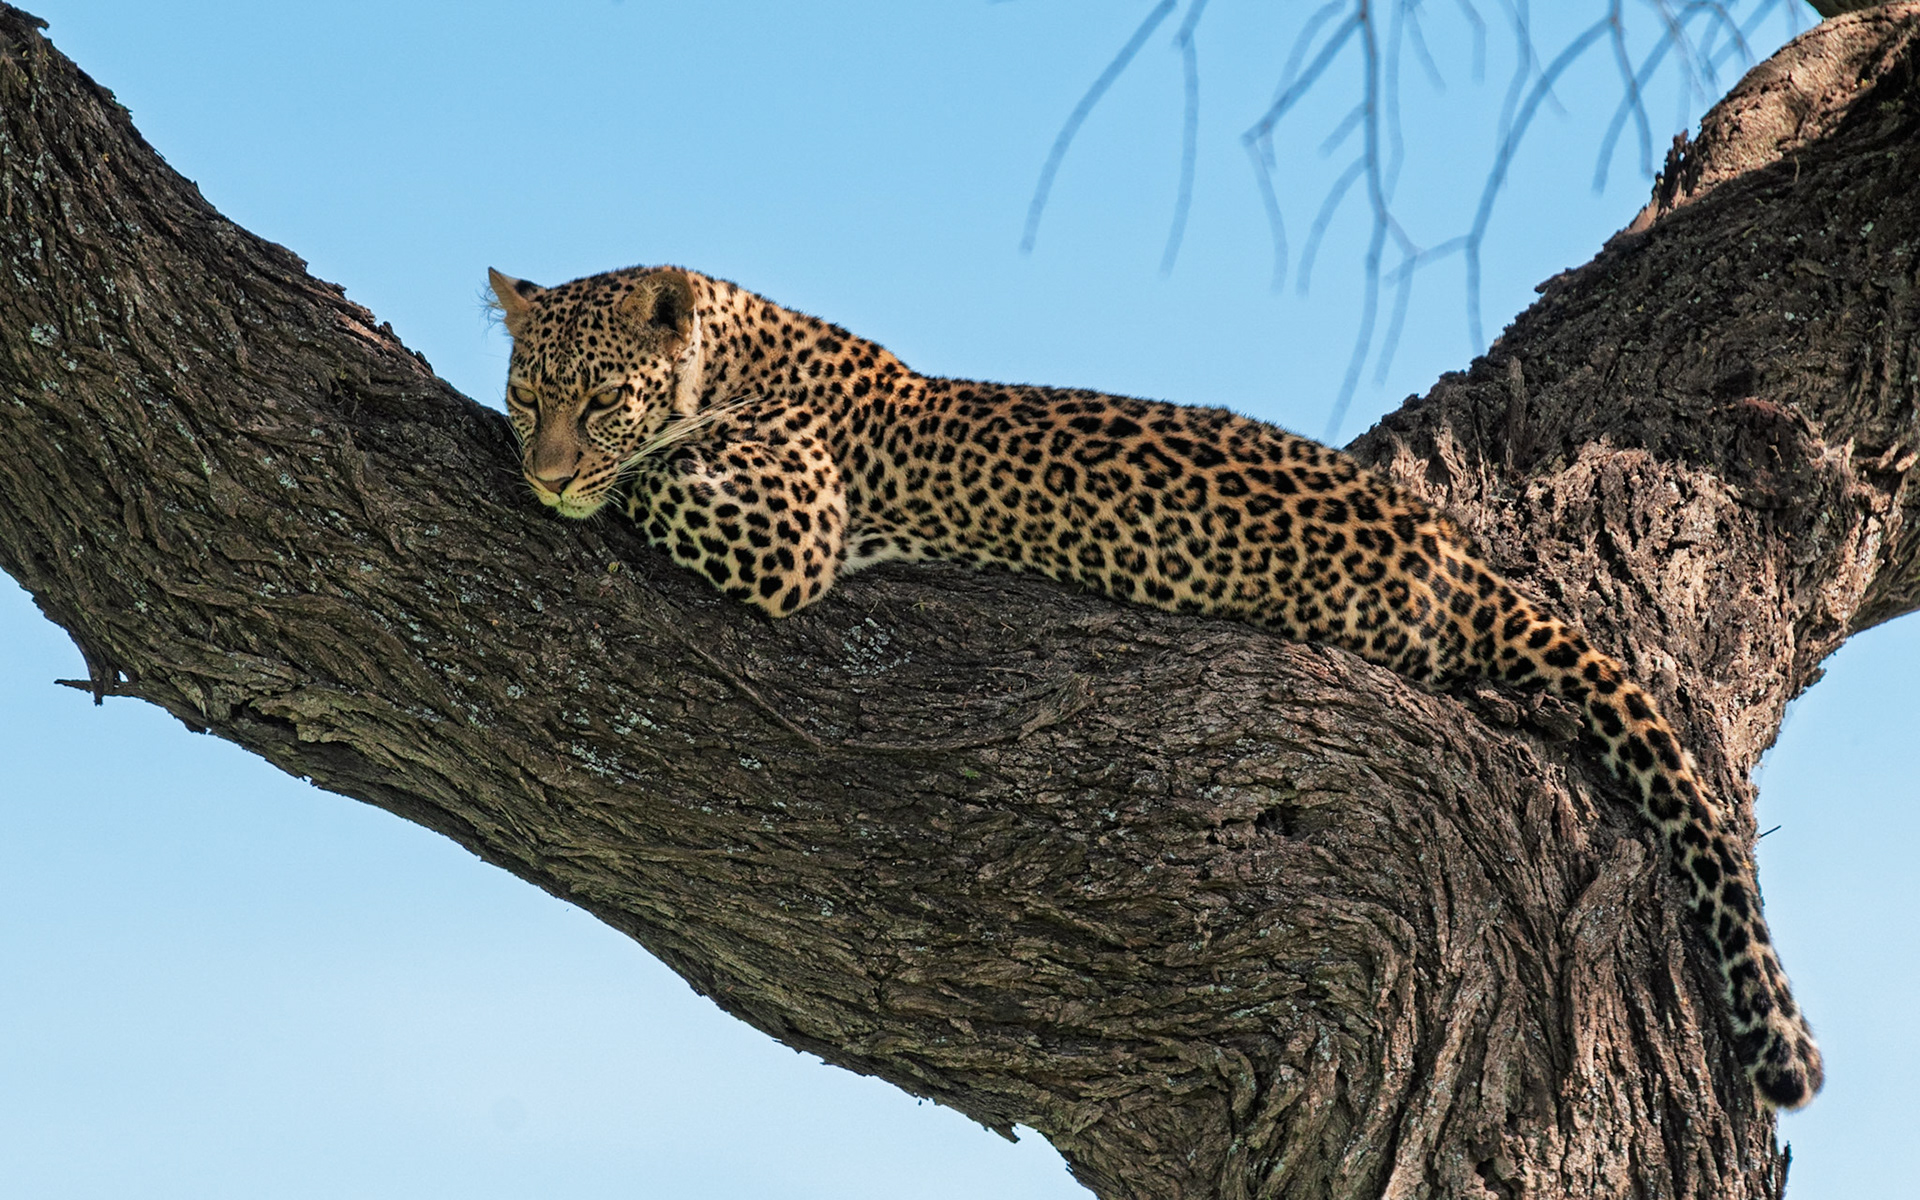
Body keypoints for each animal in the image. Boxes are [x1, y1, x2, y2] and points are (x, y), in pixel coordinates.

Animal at [486, 263, 1822, 1110]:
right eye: (525, 392)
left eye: (597, 398)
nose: (541, 471)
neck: (736, 343)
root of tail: (1457, 558)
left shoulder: (791, 522)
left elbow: (659, 474)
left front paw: (604, 479)